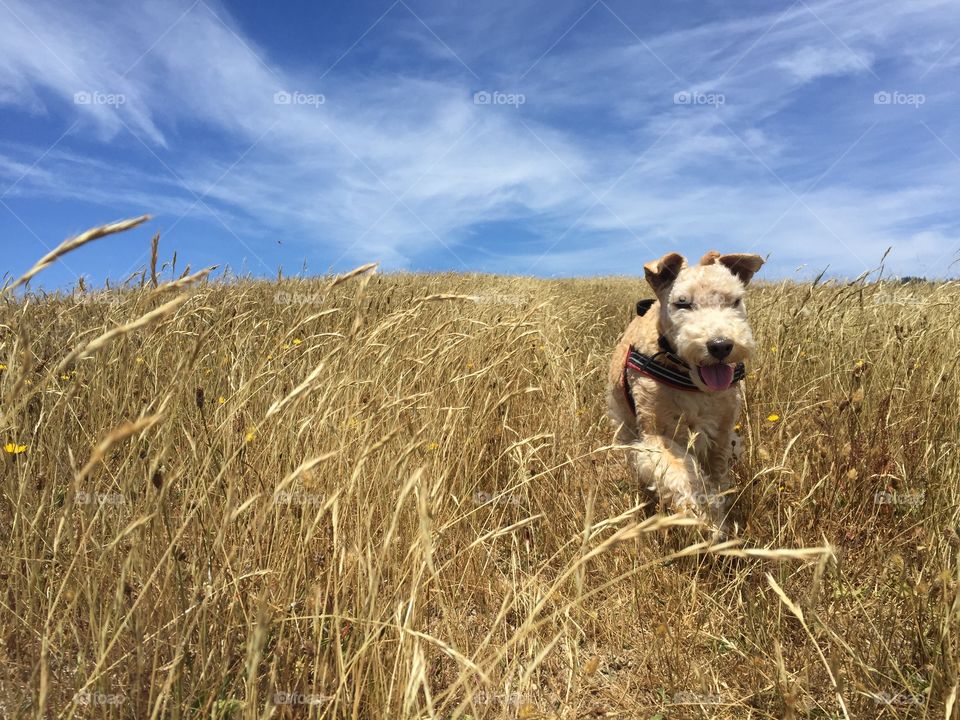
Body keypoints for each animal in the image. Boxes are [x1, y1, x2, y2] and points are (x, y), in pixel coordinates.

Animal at [608, 250, 764, 536]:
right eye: (682, 303)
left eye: (735, 300)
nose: (720, 345)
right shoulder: (655, 435)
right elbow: (683, 473)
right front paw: (706, 520)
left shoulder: (720, 436)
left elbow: (716, 477)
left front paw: (718, 521)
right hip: (623, 424)